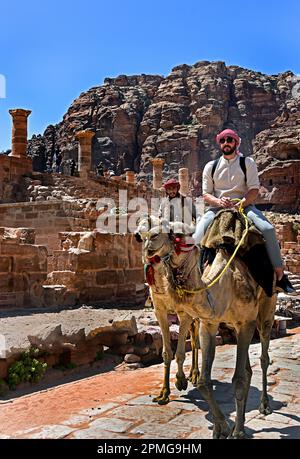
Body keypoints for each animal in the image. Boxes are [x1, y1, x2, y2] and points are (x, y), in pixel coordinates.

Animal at [136, 217, 276, 440]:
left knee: (263, 357)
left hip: (266, 311)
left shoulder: (245, 322)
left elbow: (238, 379)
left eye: (179, 234)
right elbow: (204, 381)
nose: (151, 240)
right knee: (246, 368)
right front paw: (222, 427)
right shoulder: (207, 322)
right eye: (141, 235)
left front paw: (236, 431)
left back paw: (264, 406)